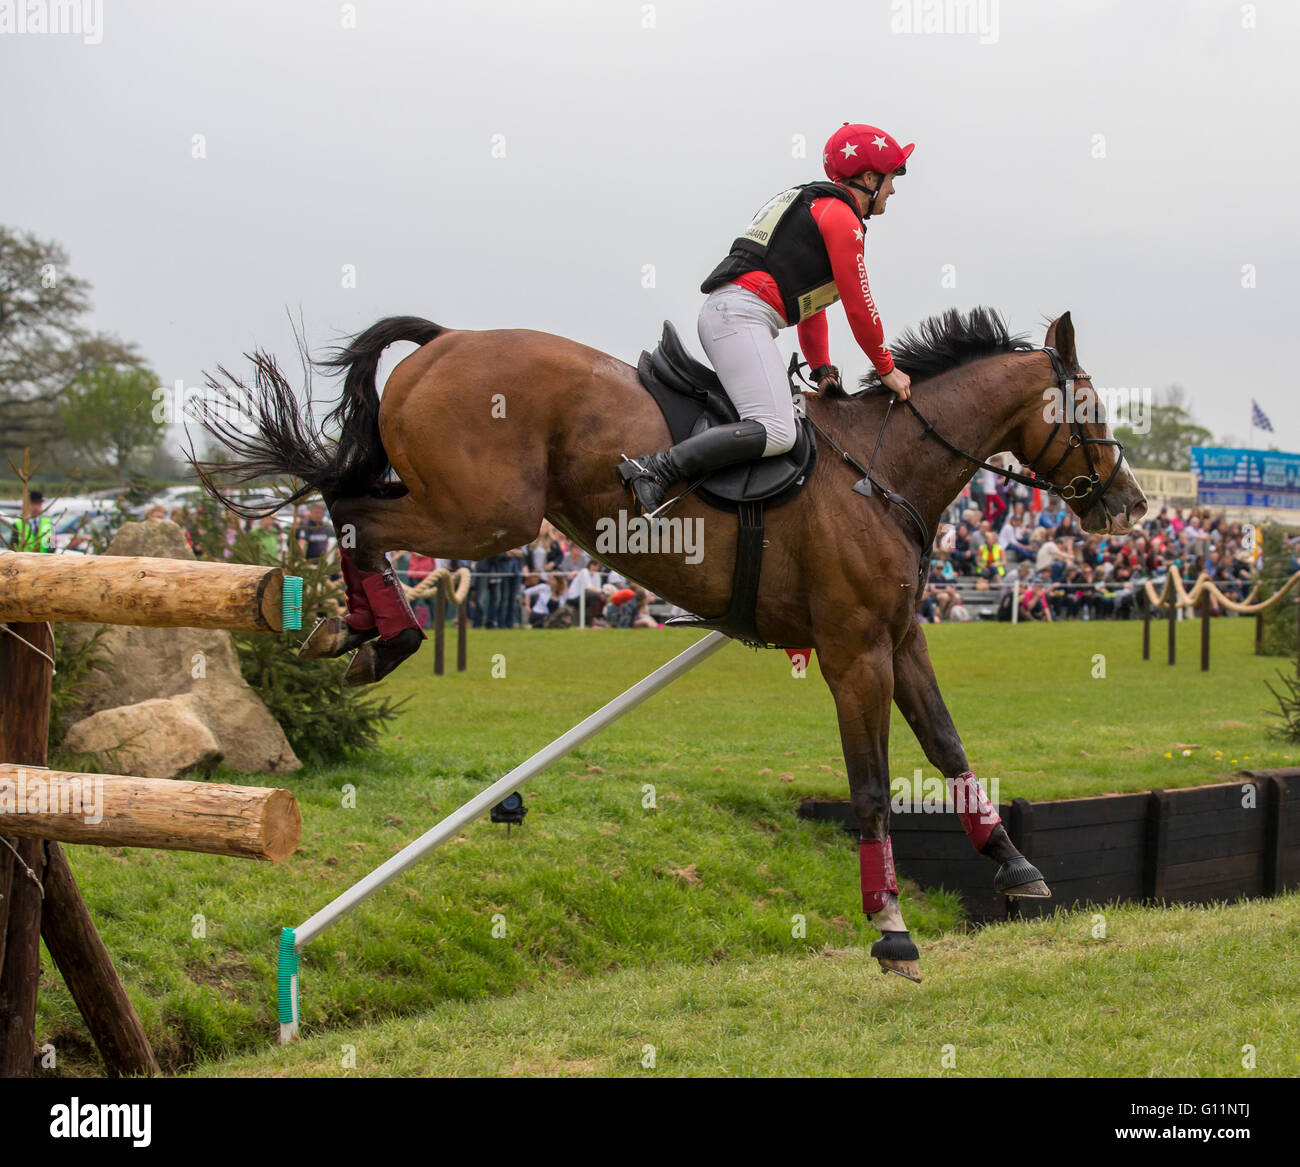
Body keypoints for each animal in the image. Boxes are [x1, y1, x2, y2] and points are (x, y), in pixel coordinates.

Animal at [195, 306, 1148, 981]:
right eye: (1090, 405)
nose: (1131, 503)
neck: (884, 469)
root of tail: (446, 340)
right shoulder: (853, 654)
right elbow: (873, 789)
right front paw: (892, 928)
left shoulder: (901, 638)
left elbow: (949, 747)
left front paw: (1014, 864)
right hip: (485, 515)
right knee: (350, 507)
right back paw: (383, 634)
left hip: (462, 503)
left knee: (349, 500)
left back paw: (359, 628)